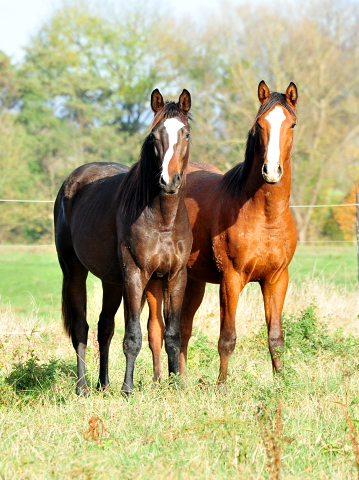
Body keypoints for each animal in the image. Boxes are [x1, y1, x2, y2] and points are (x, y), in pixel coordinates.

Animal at [53, 88, 193, 396]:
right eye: (154, 135)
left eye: (186, 133)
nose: (169, 181)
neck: (163, 219)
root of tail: (72, 180)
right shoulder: (135, 274)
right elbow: (133, 336)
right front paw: (128, 389)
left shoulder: (176, 276)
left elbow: (172, 334)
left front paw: (176, 385)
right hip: (74, 273)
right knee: (81, 329)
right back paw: (82, 387)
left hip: (112, 281)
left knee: (104, 327)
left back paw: (103, 384)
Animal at [148, 79, 300, 386]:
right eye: (260, 124)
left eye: (291, 124)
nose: (271, 171)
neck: (264, 216)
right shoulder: (231, 279)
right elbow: (227, 338)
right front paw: (221, 387)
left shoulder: (277, 279)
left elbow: (276, 339)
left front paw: (281, 385)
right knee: (157, 329)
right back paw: (161, 382)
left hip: (193, 282)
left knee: (184, 329)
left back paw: (183, 382)